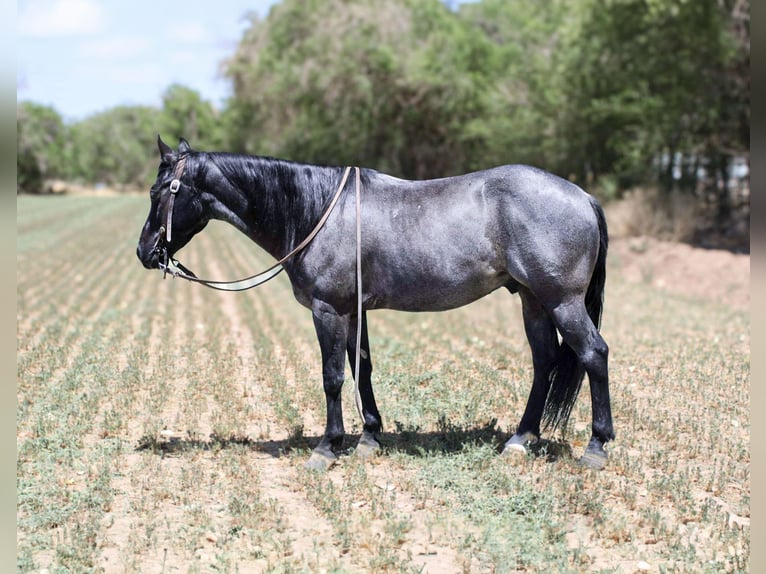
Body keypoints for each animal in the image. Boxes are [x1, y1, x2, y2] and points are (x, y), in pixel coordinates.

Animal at [136, 137, 613, 470]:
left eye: (159, 192)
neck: (317, 211)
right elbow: (360, 368)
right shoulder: (353, 311)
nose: (145, 252)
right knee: (544, 361)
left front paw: (327, 447)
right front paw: (369, 438)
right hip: (533, 301)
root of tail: (583, 197)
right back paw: (521, 439)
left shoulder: (328, 310)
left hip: (563, 302)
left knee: (594, 354)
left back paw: (596, 447)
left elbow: (332, 377)